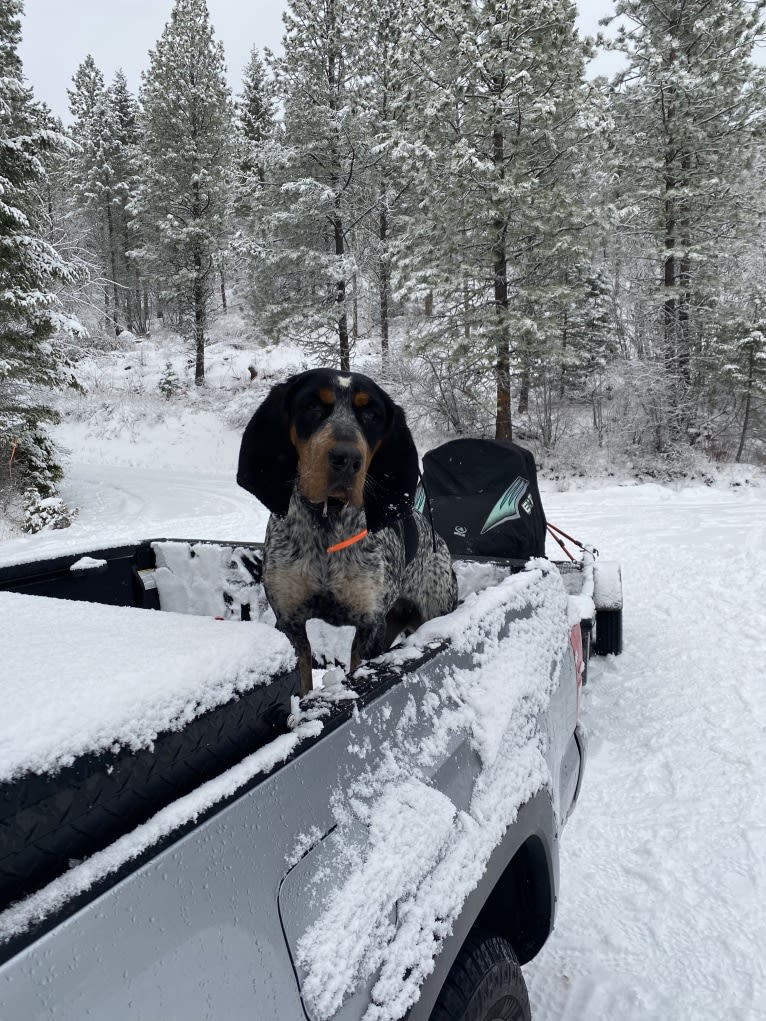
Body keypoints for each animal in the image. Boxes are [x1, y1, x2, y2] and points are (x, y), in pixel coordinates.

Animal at [236, 367, 459, 694]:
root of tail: (439, 541)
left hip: (429, 612)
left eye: (371, 414)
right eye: (312, 406)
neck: (327, 525)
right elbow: (303, 683)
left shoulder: (369, 625)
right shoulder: (290, 622)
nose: (347, 459)